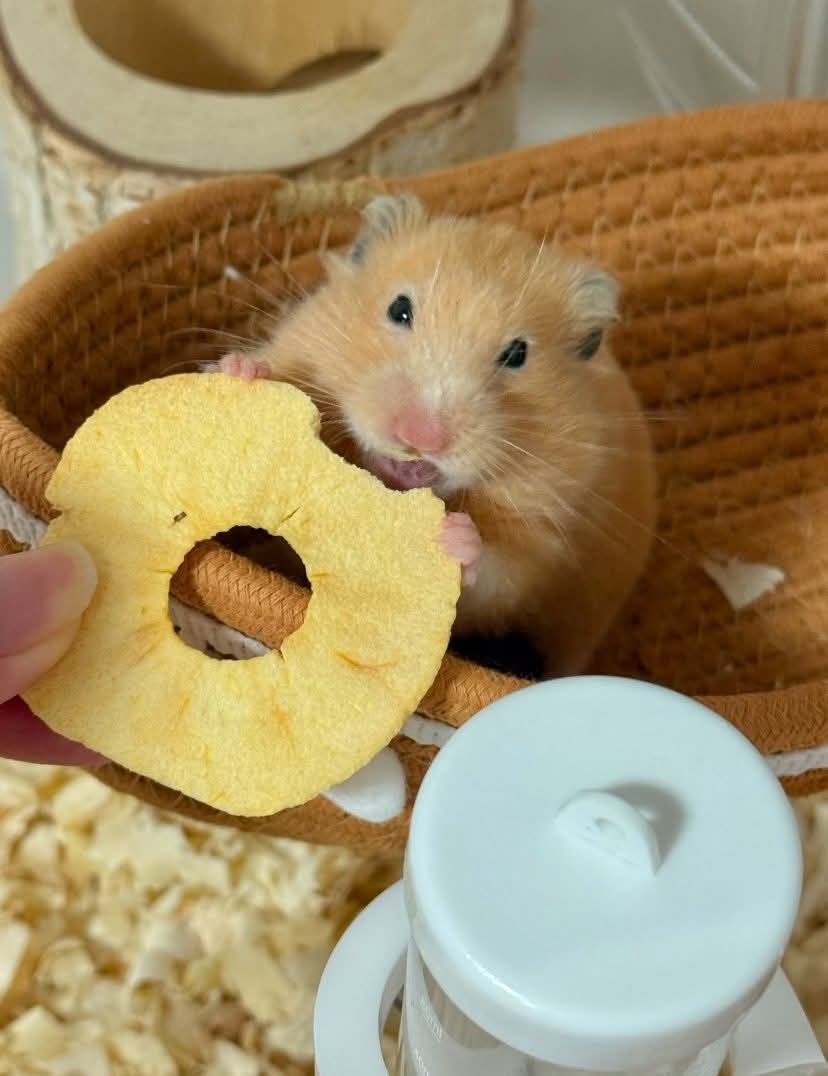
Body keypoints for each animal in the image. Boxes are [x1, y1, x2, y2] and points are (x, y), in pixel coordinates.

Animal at [210, 194, 657, 678]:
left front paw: (456, 535)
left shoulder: (540, 530)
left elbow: (496, 576)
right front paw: (243, 371)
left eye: (518, 354)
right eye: (399, 309)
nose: (419, 437)